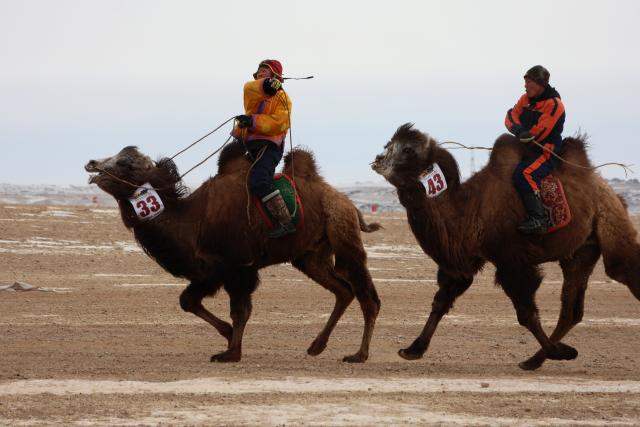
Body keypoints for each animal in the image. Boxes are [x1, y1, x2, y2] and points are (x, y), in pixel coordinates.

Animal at [85, 141, 381, 362]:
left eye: (127, 163)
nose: (92, 164)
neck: (191, 220)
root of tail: (347, 203)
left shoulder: (238, 268)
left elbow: (240, 311)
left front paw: (231, 353)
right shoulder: (210, 272)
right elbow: (188, 302)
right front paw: (228, 338)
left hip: (343, 237)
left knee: (367, 296)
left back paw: (359, 355)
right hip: (310, 256)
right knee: (343, 290)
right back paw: (316, 346)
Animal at [371, 123, 640, 370]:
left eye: (408, 150)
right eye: (388, 144)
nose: (378, 159)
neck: (469, 209)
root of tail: (611, 192)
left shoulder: (512, 262)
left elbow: (526, 314)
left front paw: (562, 352)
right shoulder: (465, 259)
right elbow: (441, 300)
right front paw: (412, 349)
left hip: (611, 225)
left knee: (621, 269)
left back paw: (541, 357)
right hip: (581, 251)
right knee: (571, 311)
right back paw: (534, 360)